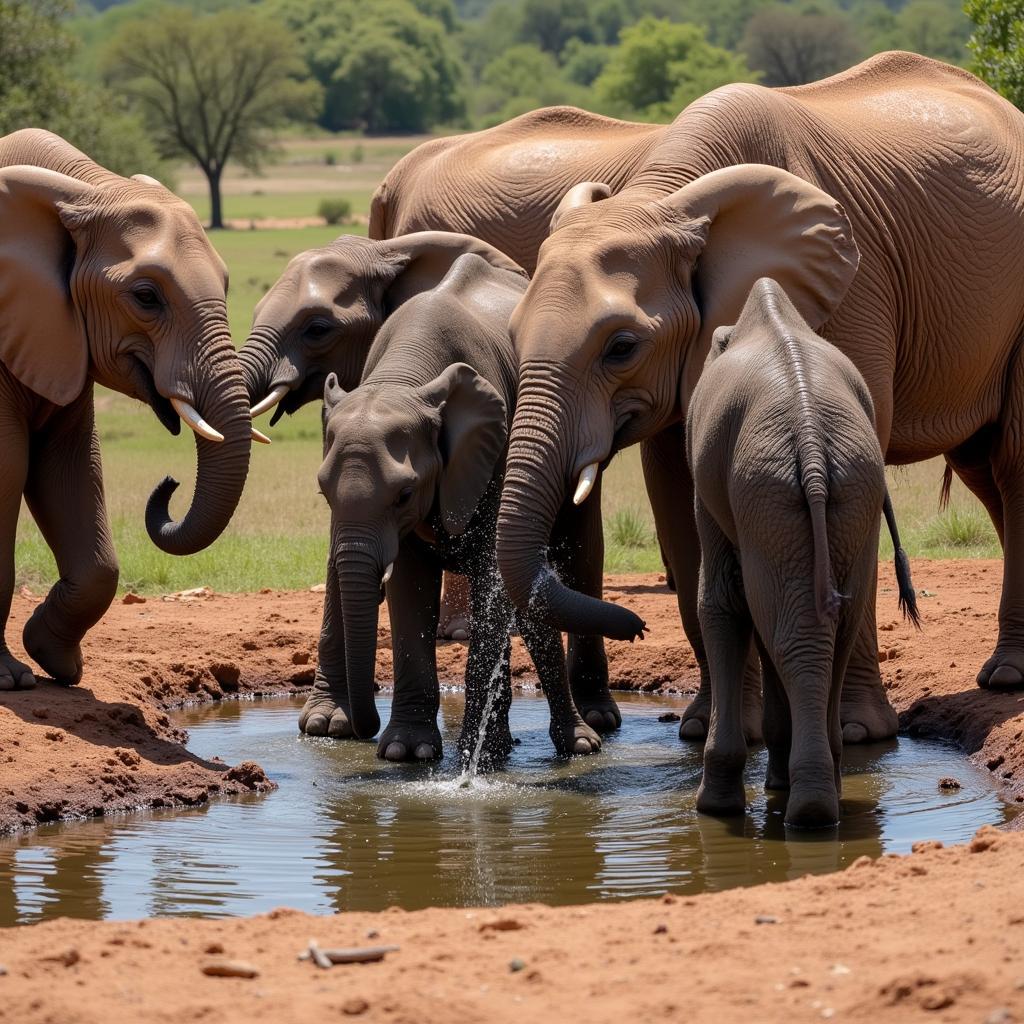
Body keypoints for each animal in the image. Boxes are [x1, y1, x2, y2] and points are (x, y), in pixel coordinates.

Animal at [0, 128, 253, 688]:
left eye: (227, 285)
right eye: (145, 297)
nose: (170, 482)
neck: (83, 187)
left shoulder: (59, 340)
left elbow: (70, 467)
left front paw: (57, 662)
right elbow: (9, 470)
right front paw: (10, 680)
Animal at [307, 247, 602, 761]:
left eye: (404, 494)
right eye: (323, 493)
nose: (364, 730)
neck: (404, 376)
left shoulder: (493, 451)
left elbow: (488, 572)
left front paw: (465, 760)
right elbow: (408, 585)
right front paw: (407, 753)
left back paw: (569, 743)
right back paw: (503, 746)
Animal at [489, 54, 1024, 745]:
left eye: (622, 347)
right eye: (512, 336)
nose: (634, 624)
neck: (667, 198)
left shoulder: (853, 289)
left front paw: (856, 734)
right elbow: (679, 492)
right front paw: (706, 729)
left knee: (1014, 465)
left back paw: (1007, 678)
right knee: (984, 470)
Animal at [688, 280, 921, 831]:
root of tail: (810, 434)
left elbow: (721, 603)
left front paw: (715, 808)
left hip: (770, 487)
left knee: (790, 628)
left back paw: (802, 810)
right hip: (847, 485)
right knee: (827, 628)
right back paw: (818, 804)